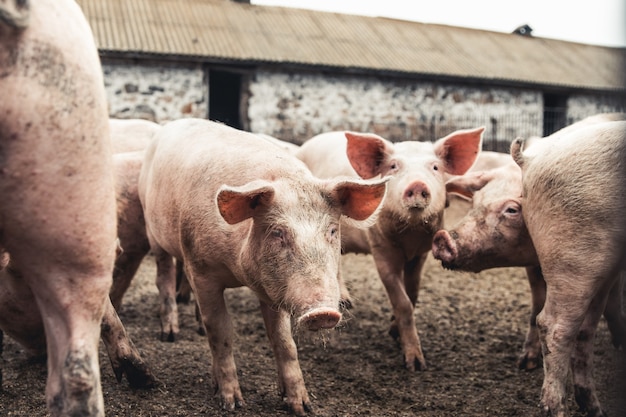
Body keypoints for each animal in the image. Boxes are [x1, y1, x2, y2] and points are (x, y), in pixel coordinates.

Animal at [139, 117, 388, 412]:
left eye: (332, 231)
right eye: (278, 232)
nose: (323, 312)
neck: (238, 273)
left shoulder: (274, 289)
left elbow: (283, 340)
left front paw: (301, 405)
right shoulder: (202, 269)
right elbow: (220, 331)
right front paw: (232, 403)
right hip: (154, 232)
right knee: (164, 278)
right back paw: (170, 334)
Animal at [294, 127, 482, 370]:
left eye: (435, 167)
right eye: (393, 166)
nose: (417, 185)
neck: (410, 235)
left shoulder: (421, 254)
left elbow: (413, 293)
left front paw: (395, 333)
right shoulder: (380, 248)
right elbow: (402, 301)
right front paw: (415, 365)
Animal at [510, 119, 620, 416]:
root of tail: (531, 158)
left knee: (585, 329)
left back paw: (595, 409)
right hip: (576, 256)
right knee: (553, 325)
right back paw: (558, 408)